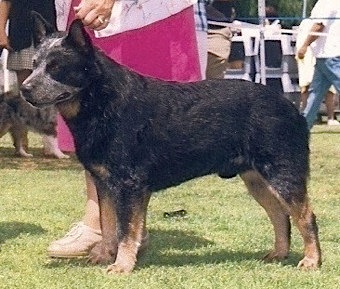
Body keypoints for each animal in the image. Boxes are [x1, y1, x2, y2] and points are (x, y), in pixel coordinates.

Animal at [20, 12, 322, 272]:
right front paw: (104, 255)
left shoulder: (129, 184)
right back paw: (278, 253)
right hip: (256, 179)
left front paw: (121, 265)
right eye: (34, 65)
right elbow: (108, 225)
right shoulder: (104, 182)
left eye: (57, 67)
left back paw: (311, 260)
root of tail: (291, 107)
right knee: (280, 215)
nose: (24, 88)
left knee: (305, 216)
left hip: (283, 172)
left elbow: (125, 230)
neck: (102, 102)